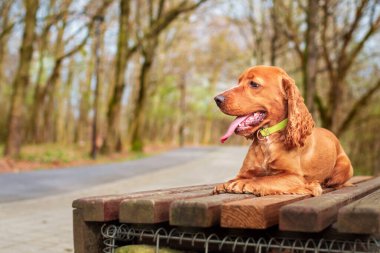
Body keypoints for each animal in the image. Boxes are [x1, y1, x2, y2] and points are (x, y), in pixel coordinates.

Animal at [214, 66, 354, 197]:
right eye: (238, 82)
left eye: (254, 84)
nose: (217, 99)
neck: (267, 138)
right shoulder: (245, 172)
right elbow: (236, 178)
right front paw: (227, 183)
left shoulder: (294, 176)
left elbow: (264, 179)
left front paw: (244, 183)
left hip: (342, 169)